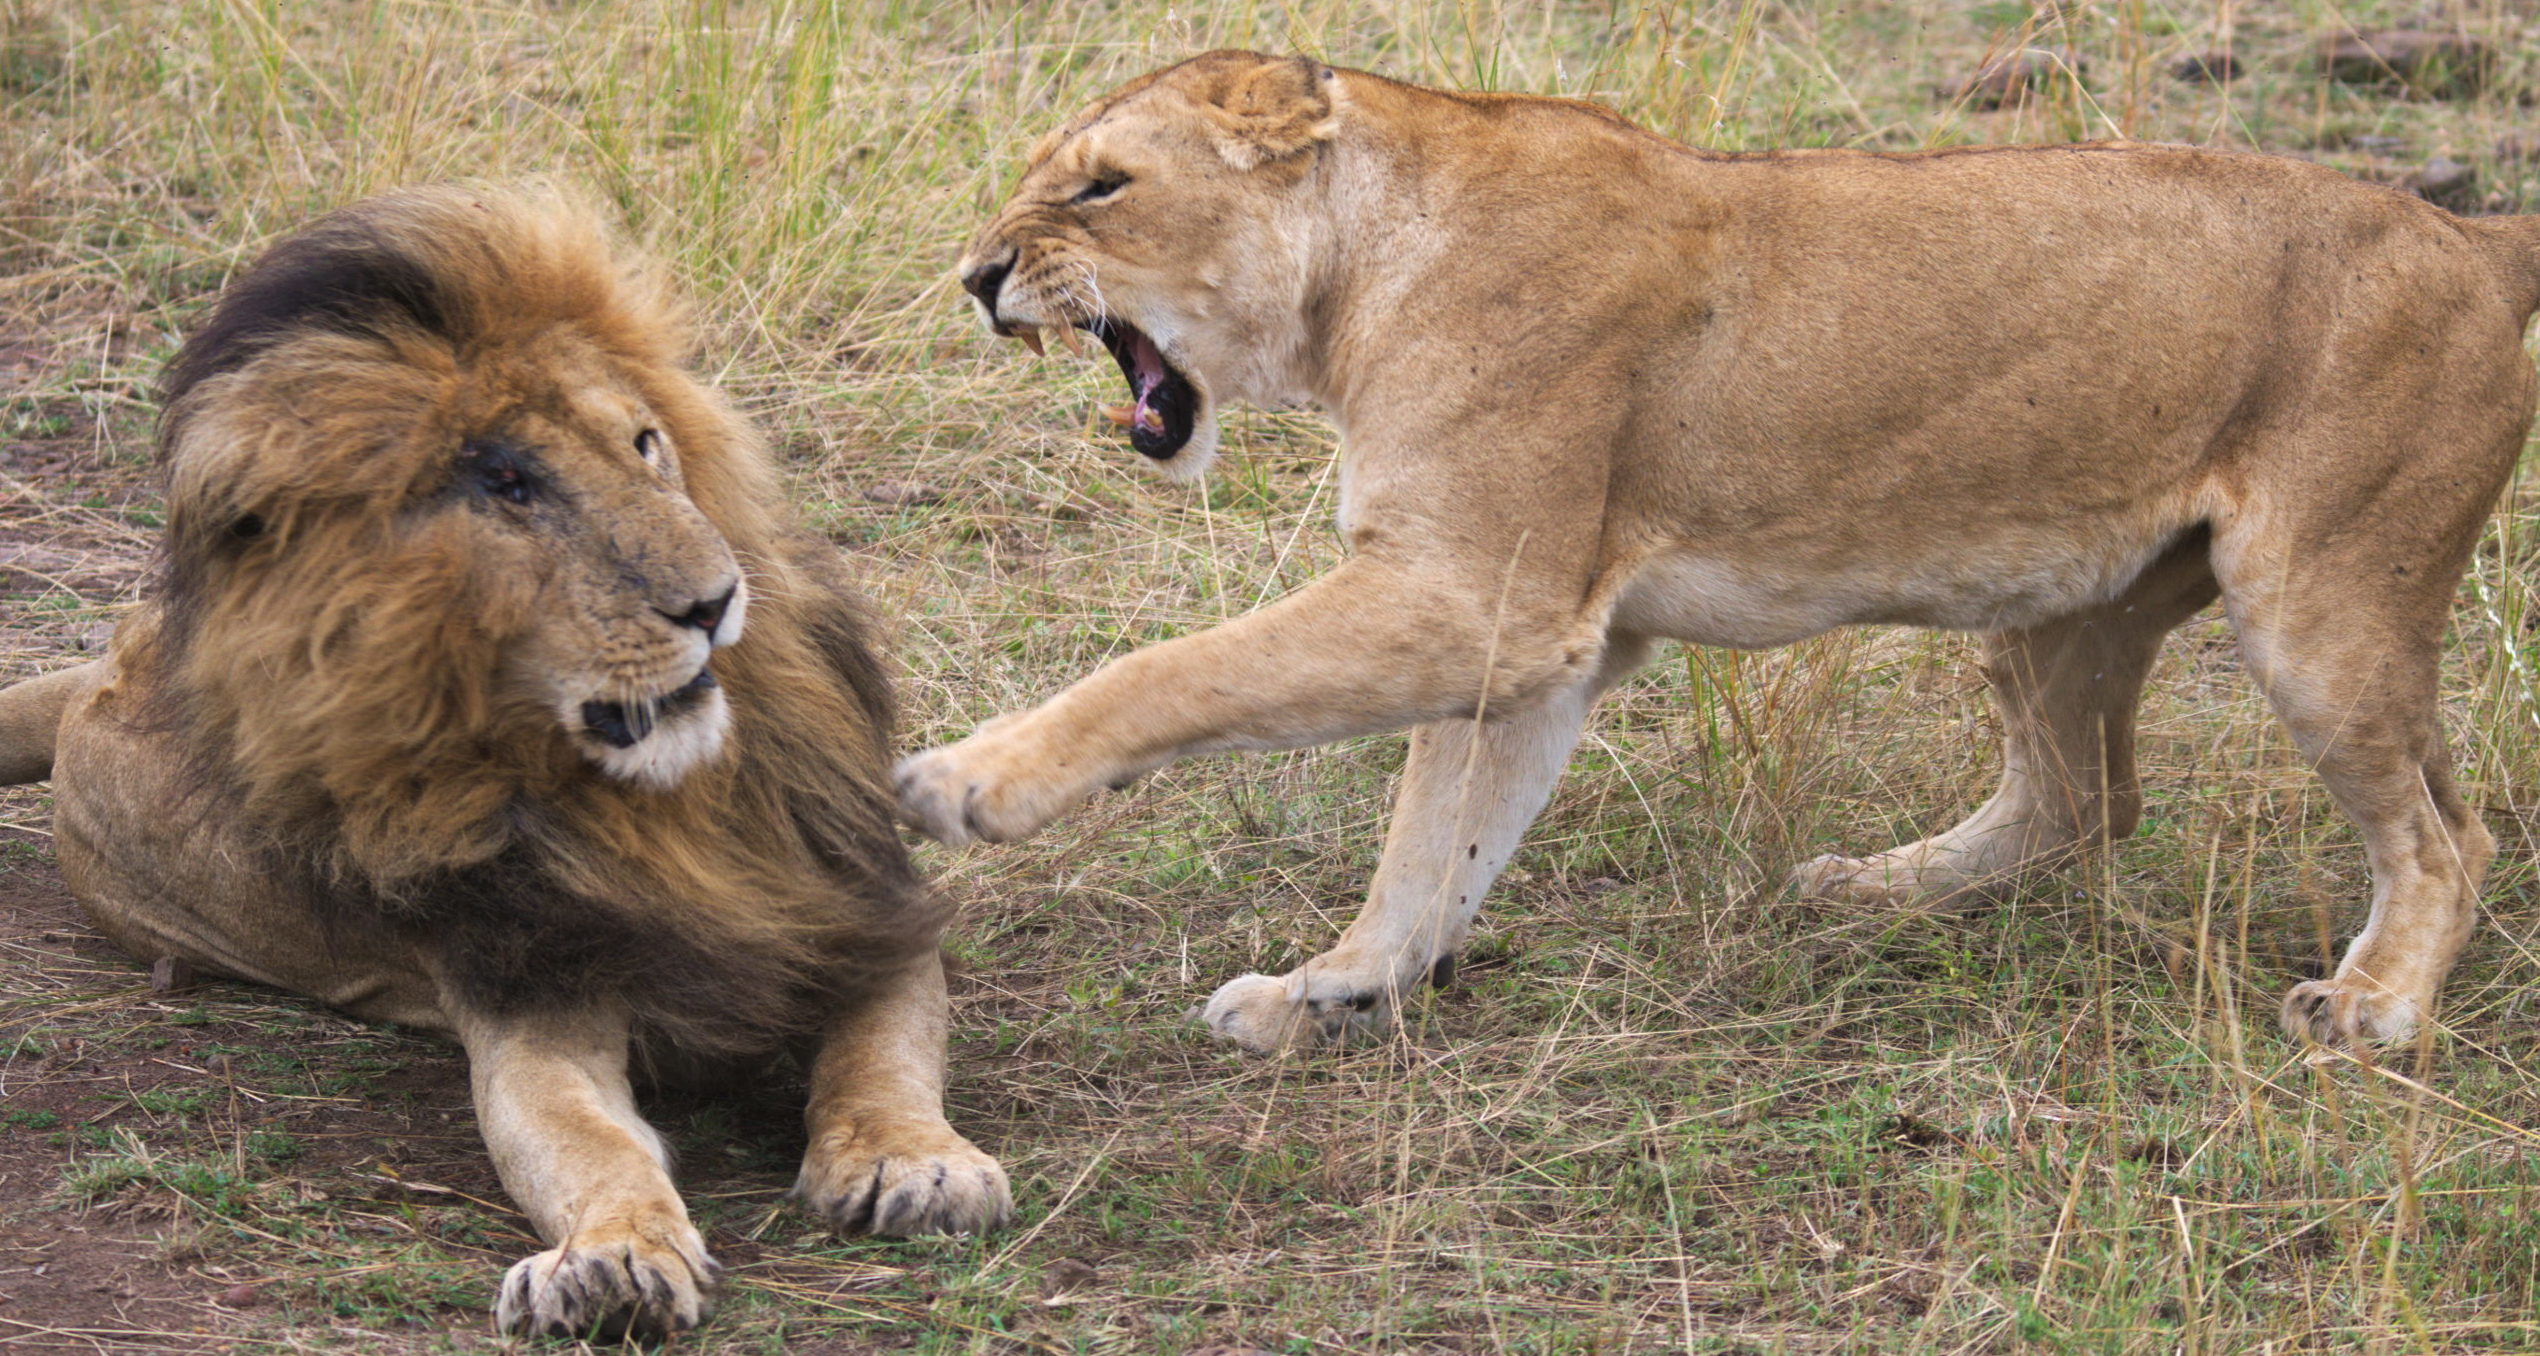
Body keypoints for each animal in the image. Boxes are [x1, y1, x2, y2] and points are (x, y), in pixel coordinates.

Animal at [0, 186, 1010, 1340]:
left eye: (646, 445)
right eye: (511, 485)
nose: (714, 603)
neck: (664, 806)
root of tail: (108, 663)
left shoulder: (856, 909)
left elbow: (883, 1059)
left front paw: (917, 1163)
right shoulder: (533, 998)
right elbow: (584, 1143)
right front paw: (611, 1258)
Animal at [909, 55, 2540, 1061]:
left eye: (1100, 186)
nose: (977, 278)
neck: (1359, 272)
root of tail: (2469, 239)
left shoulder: (1470, 595)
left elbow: (1173, 674)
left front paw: (973, 780)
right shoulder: (1533, 640)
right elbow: (1436, 846)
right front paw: (1337, 992)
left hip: (2320, 605)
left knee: (2446, 839)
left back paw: (2375, 1010)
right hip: (2057, 606)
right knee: (2086, 799)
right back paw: (1872, 889)